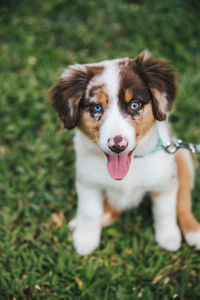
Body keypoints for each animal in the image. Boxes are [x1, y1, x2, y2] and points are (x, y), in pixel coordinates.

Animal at [49, 50, 200, 254]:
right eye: (97, 107)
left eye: (134, 105)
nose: (117, 145)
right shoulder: (88, 182)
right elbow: (90, 211)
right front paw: (85, 239)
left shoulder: (164, 181)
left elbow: (165, 211)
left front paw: (168, 237)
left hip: (182, 159)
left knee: (183, 202)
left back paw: (194, 232)